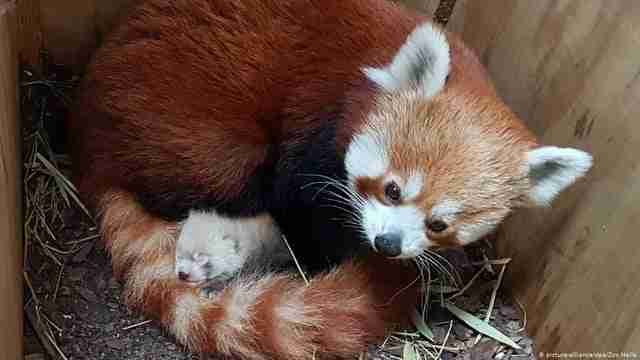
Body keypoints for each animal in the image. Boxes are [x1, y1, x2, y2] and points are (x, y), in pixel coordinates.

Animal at [67, 0, 592, 358]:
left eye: (439, 224)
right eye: (392, 189)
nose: (387, 245)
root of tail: (88, 141)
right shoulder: (312, 126)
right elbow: (297, 201)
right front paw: (326, 254)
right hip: (196, 136)